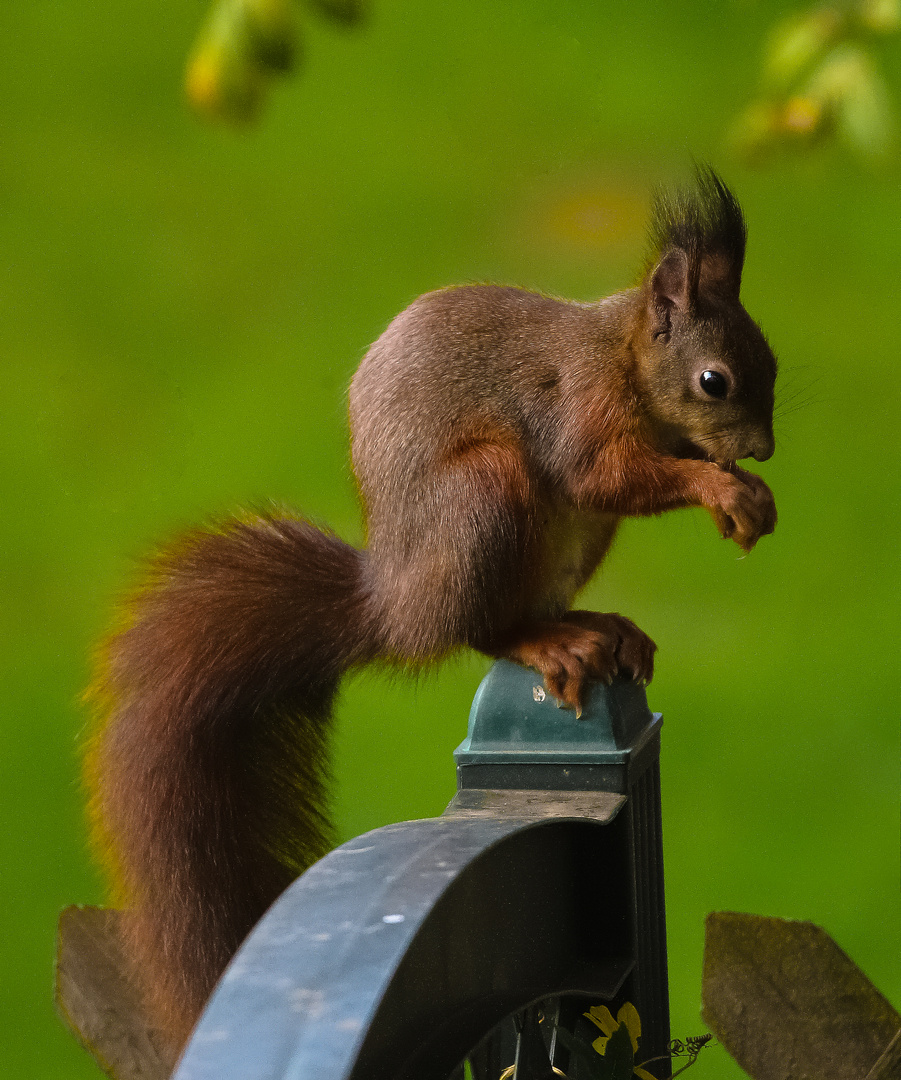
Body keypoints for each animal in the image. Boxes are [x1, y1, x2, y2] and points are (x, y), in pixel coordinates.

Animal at [82, 168, 773, 1054]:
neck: (620, 354)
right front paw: (717, 487)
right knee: (483, 630)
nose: (759, 449)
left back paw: (598, 628)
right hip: (483, 497)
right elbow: (600, 472)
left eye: (770, 363)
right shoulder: (580, 406)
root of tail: (398, 607)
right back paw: (548, 643)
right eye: (713, 380)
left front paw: (745, 493)